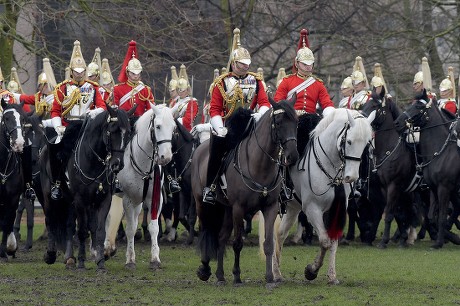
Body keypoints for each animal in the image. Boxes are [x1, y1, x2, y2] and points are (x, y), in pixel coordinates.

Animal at [111, 105, 176, 270]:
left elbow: (154, 227)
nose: (166, 157)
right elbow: (131, 228)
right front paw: (130, 260)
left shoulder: (154, 198)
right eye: (158, 126)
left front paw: (155, 259)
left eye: (173, 128)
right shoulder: (128, 200)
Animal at [272, 108, 372, 284]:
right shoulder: (312, 209)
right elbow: (325, 241)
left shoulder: (335, 210)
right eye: (349, 141)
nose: (352, 177)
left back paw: (277, 273)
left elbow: (332, 241)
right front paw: (311, 271)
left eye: (366, 144)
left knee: (280, 234)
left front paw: (331, 275)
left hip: (292, 207)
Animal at [394, 88, 460, 249]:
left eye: (418, 106)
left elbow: (441, 216)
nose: (397, 123)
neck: (440, 152)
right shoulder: (434, 189)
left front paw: (439, 242)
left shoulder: (444, 188)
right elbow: (432, 217)